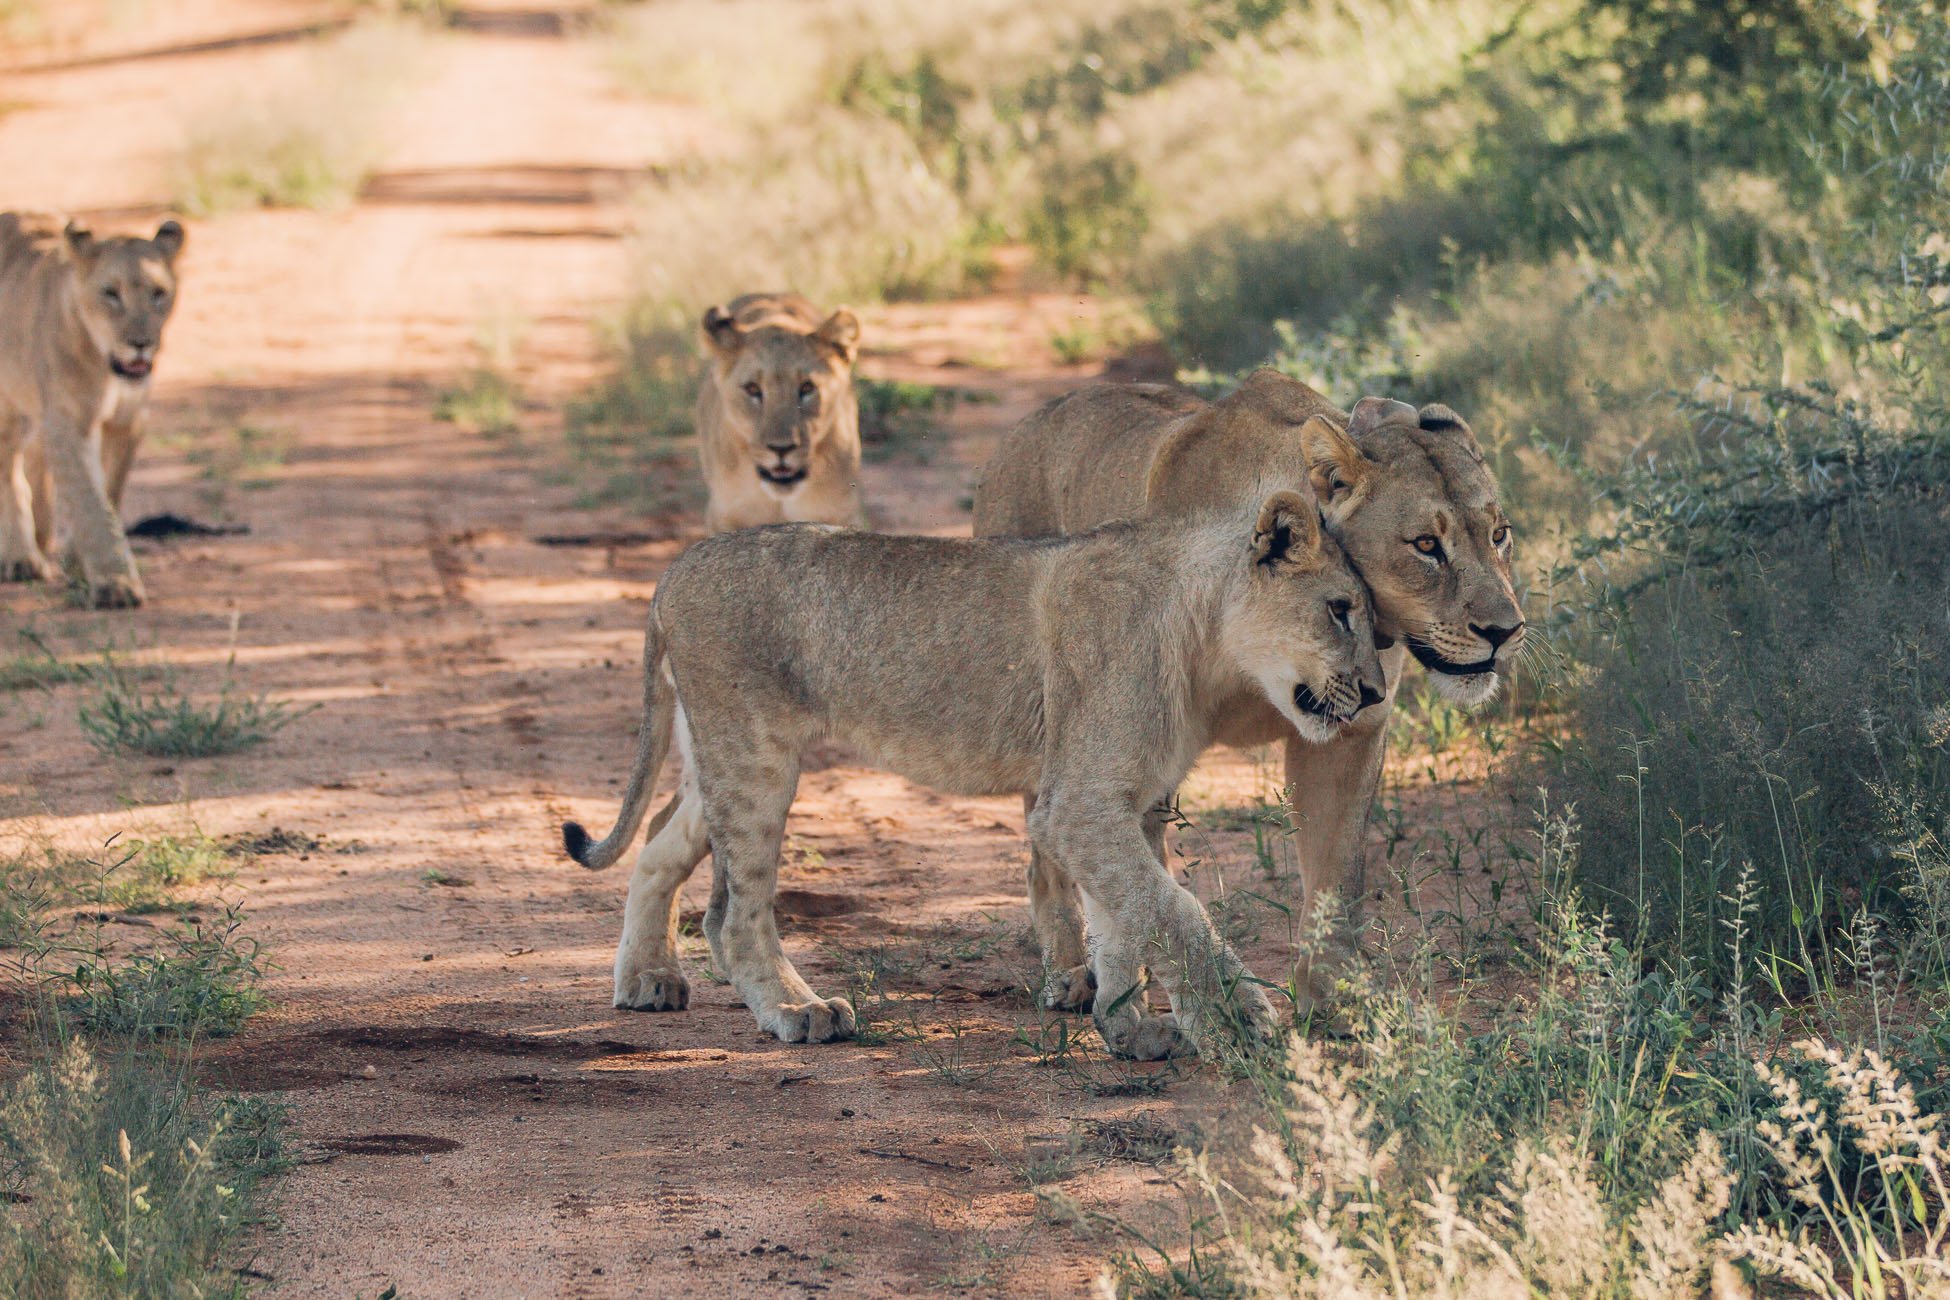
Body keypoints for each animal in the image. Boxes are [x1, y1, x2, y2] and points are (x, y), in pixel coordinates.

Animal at [0, 212, 184, 611]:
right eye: (110, 293)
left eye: (158, 293)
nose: (140, 343)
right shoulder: (69, 423)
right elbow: (89, 499)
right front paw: (115, 584)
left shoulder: (128, 421)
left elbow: (108, 493)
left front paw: (77, 563)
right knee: (10, 471)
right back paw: (21, 557)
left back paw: (42, 540)